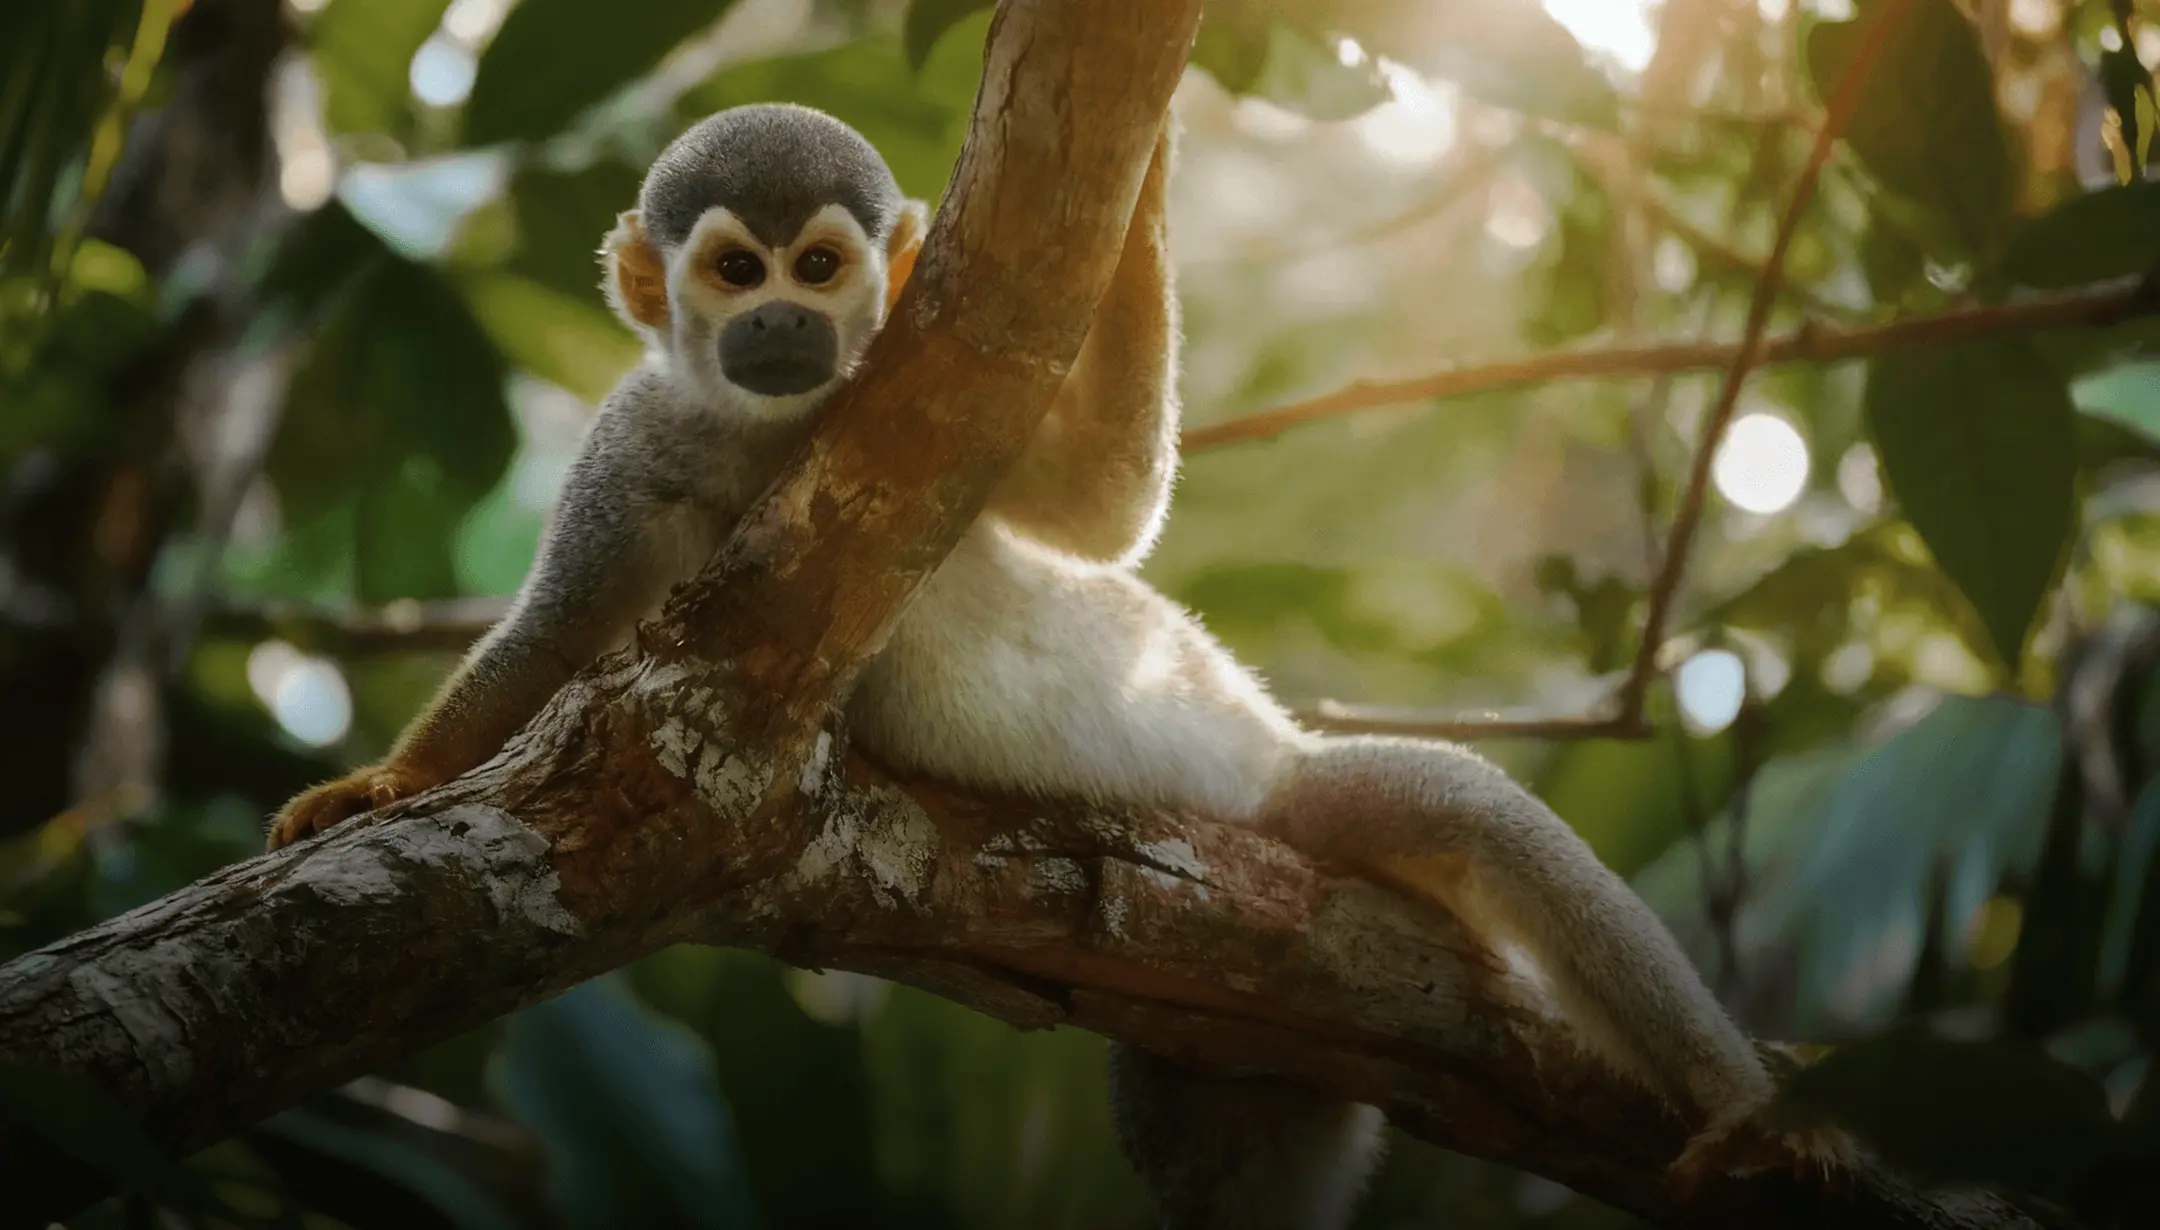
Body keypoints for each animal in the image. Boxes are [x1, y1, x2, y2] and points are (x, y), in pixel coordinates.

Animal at [268, 103, 1838, 1227]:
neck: (781, 434)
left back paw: (1744, 1115)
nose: (779, 322)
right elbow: (555, 639)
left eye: (819, 265)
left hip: (1299, 804)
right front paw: (383, 786)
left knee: (1475, 821)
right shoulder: (629, 447)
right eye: (732, 268)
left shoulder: (952, 399)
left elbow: (1104, 508)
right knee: (1219, 1162)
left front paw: (1138, 193)